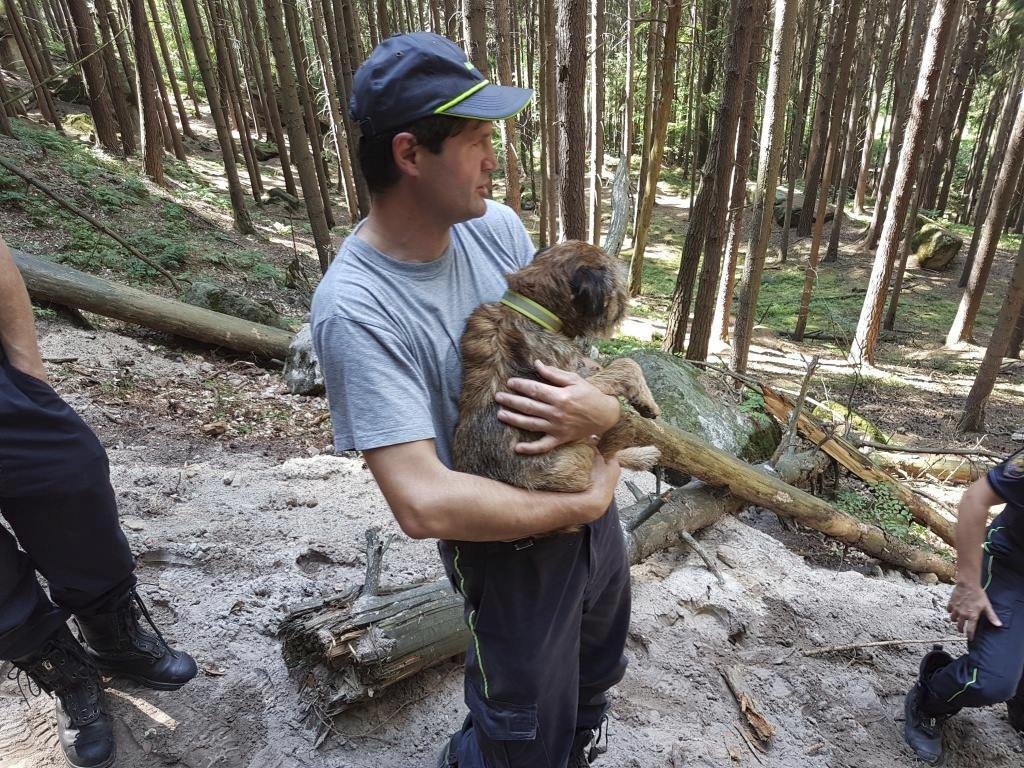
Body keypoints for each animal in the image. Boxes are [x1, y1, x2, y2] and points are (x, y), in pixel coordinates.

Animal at [452, 240, 659, 505]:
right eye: (617, 287)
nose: (626, 305)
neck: (535, 308)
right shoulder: (572, 384)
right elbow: (628, 363)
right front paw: (647, 402)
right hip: (577, 456)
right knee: (602, 453)